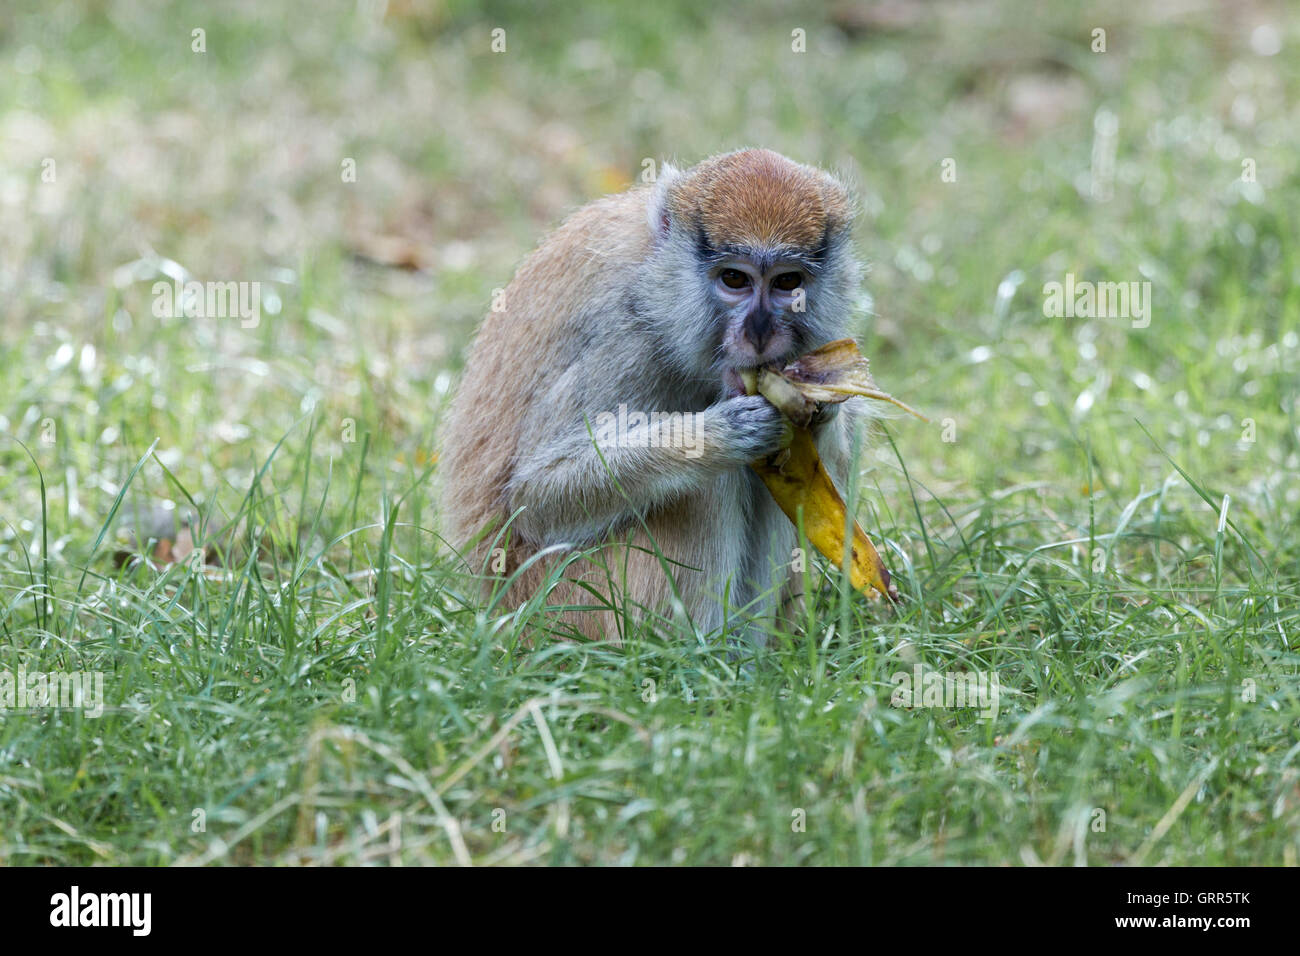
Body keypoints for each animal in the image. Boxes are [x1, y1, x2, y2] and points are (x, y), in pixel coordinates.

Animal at [440, 148, 871, 645]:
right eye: (734, 278)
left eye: (786, 283)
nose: (759, 332)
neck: (658, 279)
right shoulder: (628, 340)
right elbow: (536, 497)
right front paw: (718, 435)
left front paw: (819, 409)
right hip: (570, 606)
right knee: (708, 487)